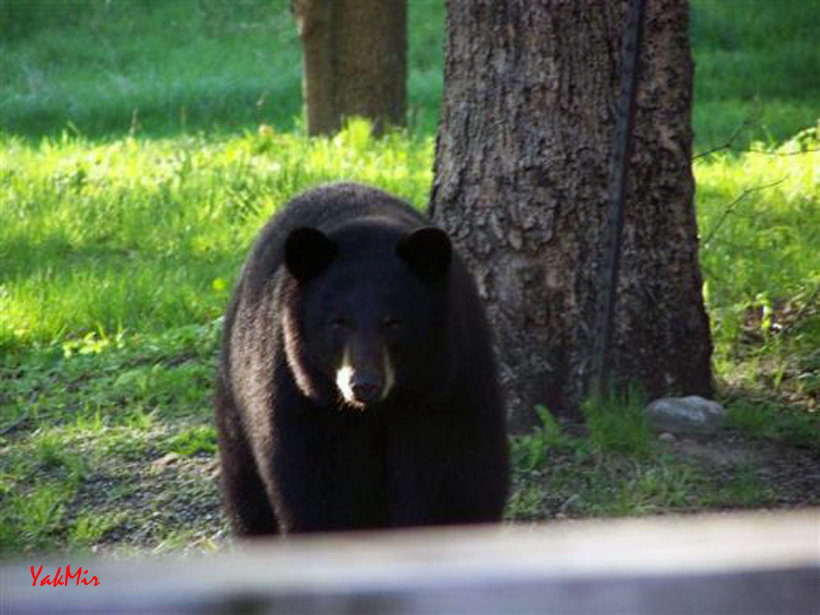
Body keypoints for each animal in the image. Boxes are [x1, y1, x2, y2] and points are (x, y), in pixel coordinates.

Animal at [215, 182, 510, 536]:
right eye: (338, 322)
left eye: (394, 322)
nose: (365, 384)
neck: (381, 408)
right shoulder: (307, 402)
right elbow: (324, 492)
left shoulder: (445, 384)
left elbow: (452, 481)